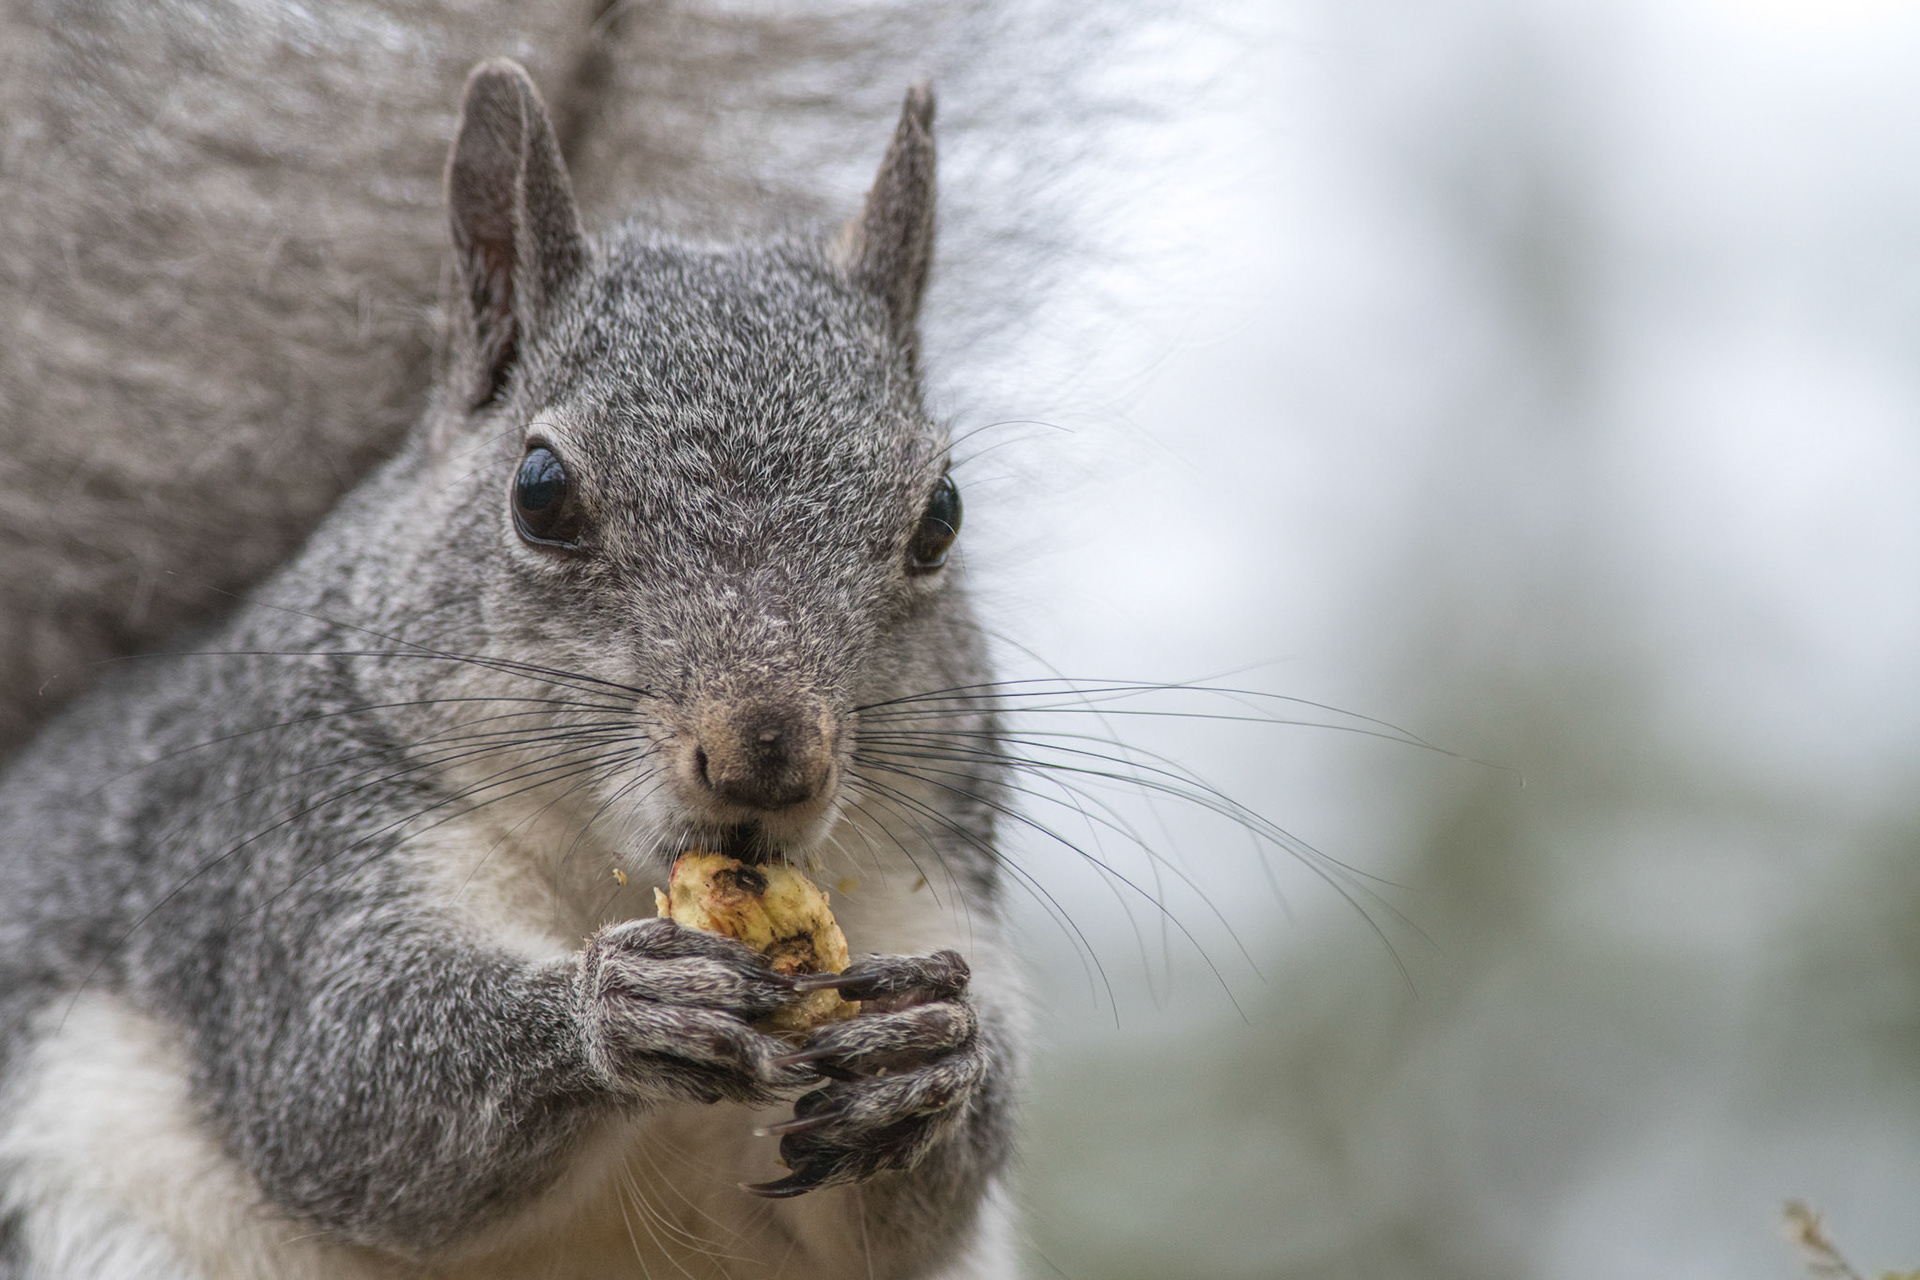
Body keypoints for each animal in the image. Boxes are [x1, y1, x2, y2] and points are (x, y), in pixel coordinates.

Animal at [0, 47, 1031, 1280]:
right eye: (539, 492)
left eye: (942, 515)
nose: (768, 757)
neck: (608, 879)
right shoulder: (290, 850)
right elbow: (342, 1088)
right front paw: (612, 1007)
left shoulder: (935, 874)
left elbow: (907, 1217)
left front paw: (932, 1061)